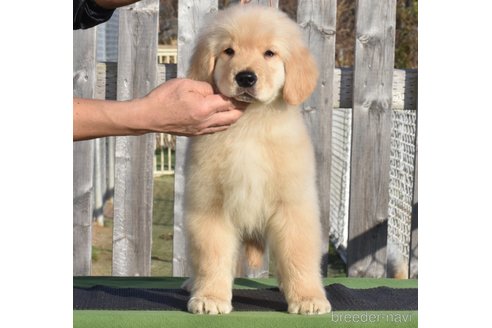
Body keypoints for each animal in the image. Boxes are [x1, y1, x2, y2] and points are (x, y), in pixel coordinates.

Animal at [184, 3, 330, 316]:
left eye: (269, 53)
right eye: (229, 51)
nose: (246, 78)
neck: (250, 125)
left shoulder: (292, 206)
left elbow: (298, 255)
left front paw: (308, 297)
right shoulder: (210, 205)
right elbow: (212, 257)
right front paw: (210, 296)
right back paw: (192, 283)